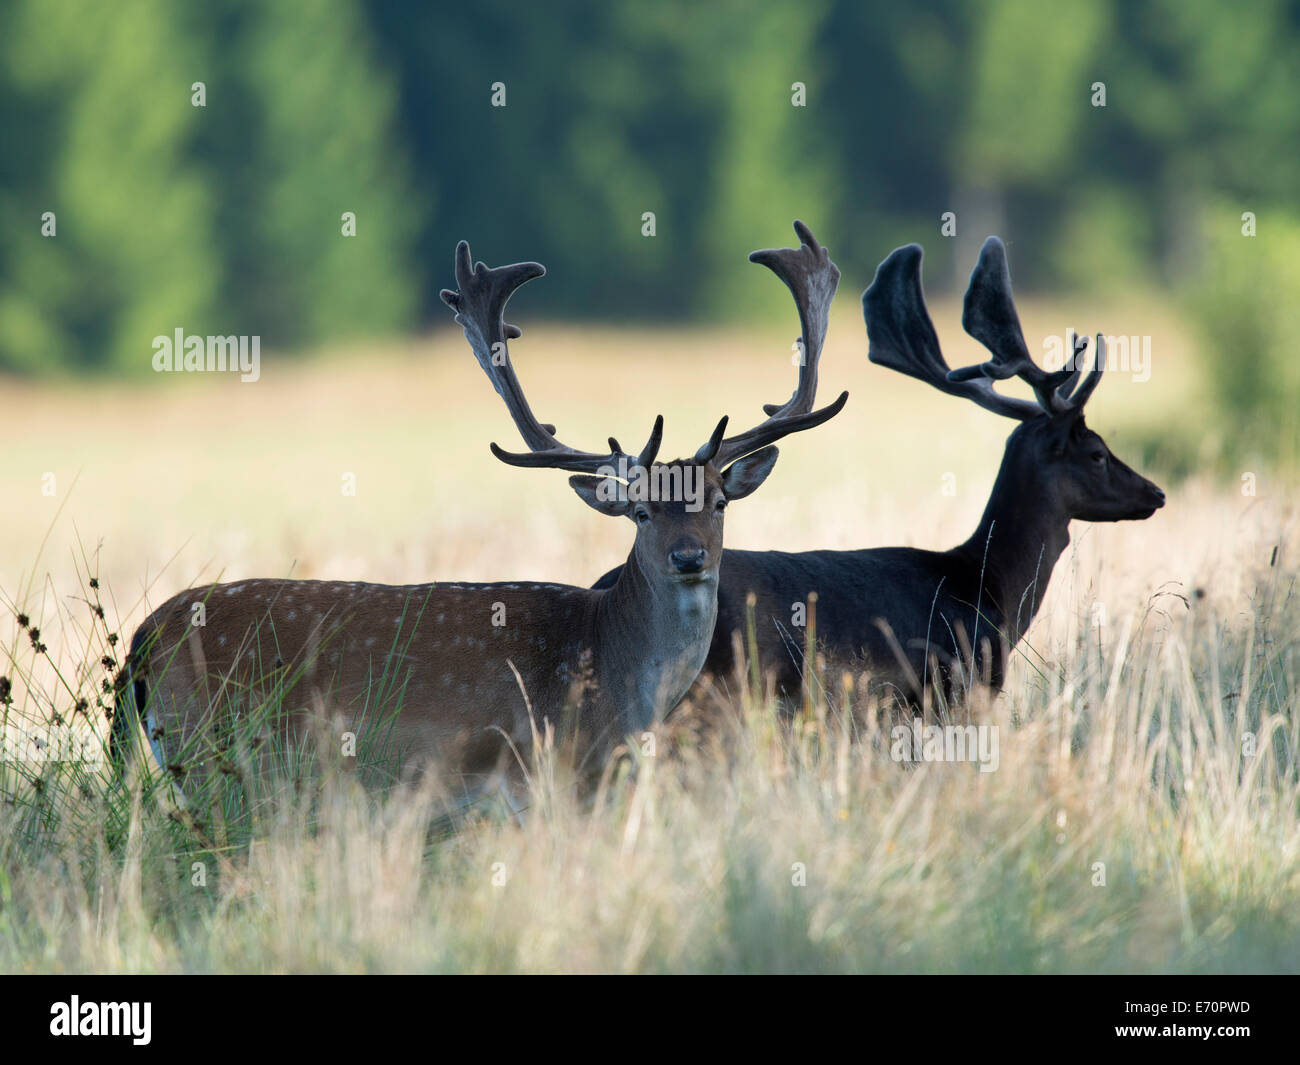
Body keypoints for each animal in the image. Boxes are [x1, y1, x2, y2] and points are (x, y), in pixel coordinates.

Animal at [109, 227, 842, 790]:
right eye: (640, 512)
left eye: (717, 501)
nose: (688, 556)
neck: (615, 678)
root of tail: (142, 637)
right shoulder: (544, 769)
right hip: (210, 749)